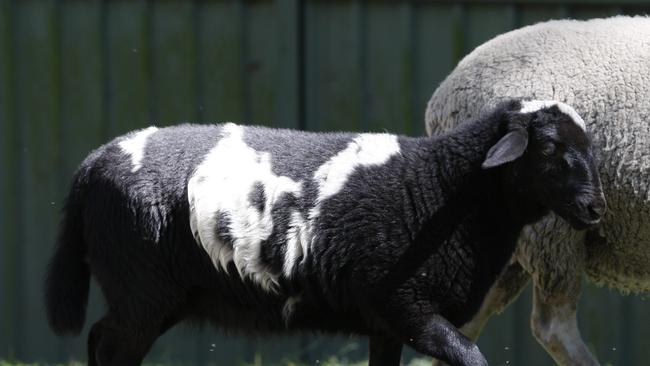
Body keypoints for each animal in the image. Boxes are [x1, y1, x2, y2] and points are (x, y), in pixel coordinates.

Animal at [44, 98, 604, 364]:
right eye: (549, 148)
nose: (596, 208)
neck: (444, 187)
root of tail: (93, 163)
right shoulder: (408, 306)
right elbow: (471, 357)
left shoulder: (386, 324)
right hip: (142, 291)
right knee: (110, 347)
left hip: (154, 297)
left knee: (100, 339)